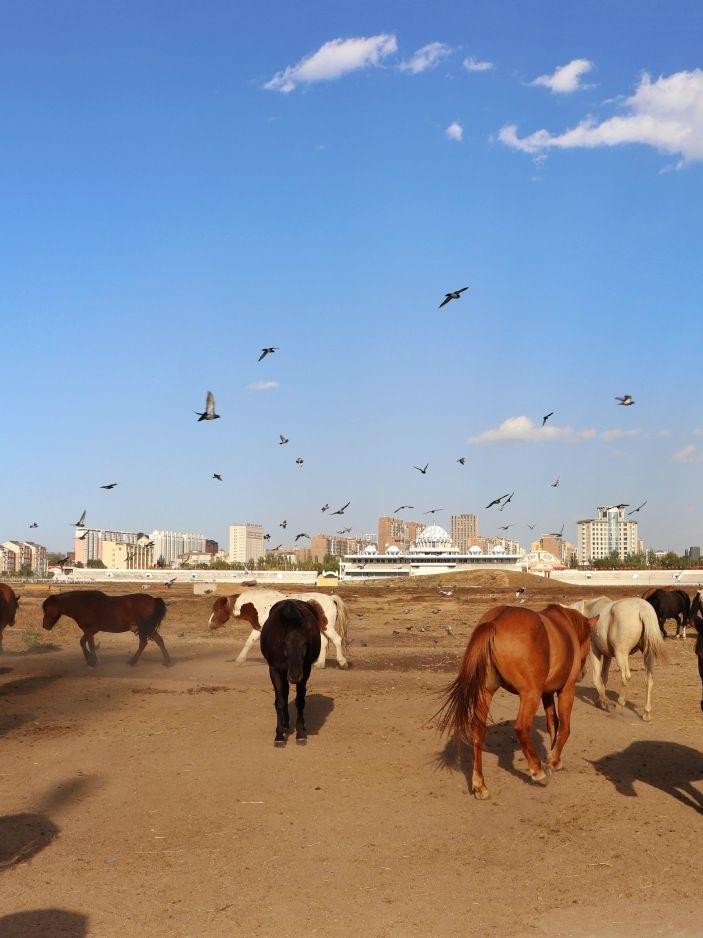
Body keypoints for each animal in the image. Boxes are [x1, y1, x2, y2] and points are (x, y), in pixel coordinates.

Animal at [43, 588, 172, 660]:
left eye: (47, 609)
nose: (45, 626)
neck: (83, 605)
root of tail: (154, 599)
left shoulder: (90, 630)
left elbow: (89, 644)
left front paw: (92, 661)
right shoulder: (90, 630)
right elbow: (82, 642)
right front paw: (88, 658)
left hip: (145, 628)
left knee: (151, 641)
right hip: (144, 628)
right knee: (150, 642)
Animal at [209, 588, 352, 668]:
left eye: (217, 609)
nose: (210, 624)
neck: (258, 604)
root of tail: (330, 598)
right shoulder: (257, 628)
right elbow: (248, 643)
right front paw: (239, 661)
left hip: (327, 627)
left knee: (337, 640)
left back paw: (342, 662)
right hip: (322, 628)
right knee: (325, 642)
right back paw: (320, 664)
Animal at [260, 600, 324, 744]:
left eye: (305, 644)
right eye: (284, 644)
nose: (295, 676)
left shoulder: (305, 671)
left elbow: (300, 701)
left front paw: (300, 733)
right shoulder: (274, 670)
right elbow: (279, 701)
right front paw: (279, 735)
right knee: (284, 694)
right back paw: (285, 724)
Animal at [438, 608, 596, 796]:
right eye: (589, 641)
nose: (582, 673)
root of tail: (495, 622)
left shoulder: (547, 693)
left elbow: (553, 724)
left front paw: (552, 755)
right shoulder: (566, 690)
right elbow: (564, 728)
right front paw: (554, 760)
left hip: (485, 692)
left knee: (477, 730)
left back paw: (479, 784)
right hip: (530, 694)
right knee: (521, 727)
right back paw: (538, 771)